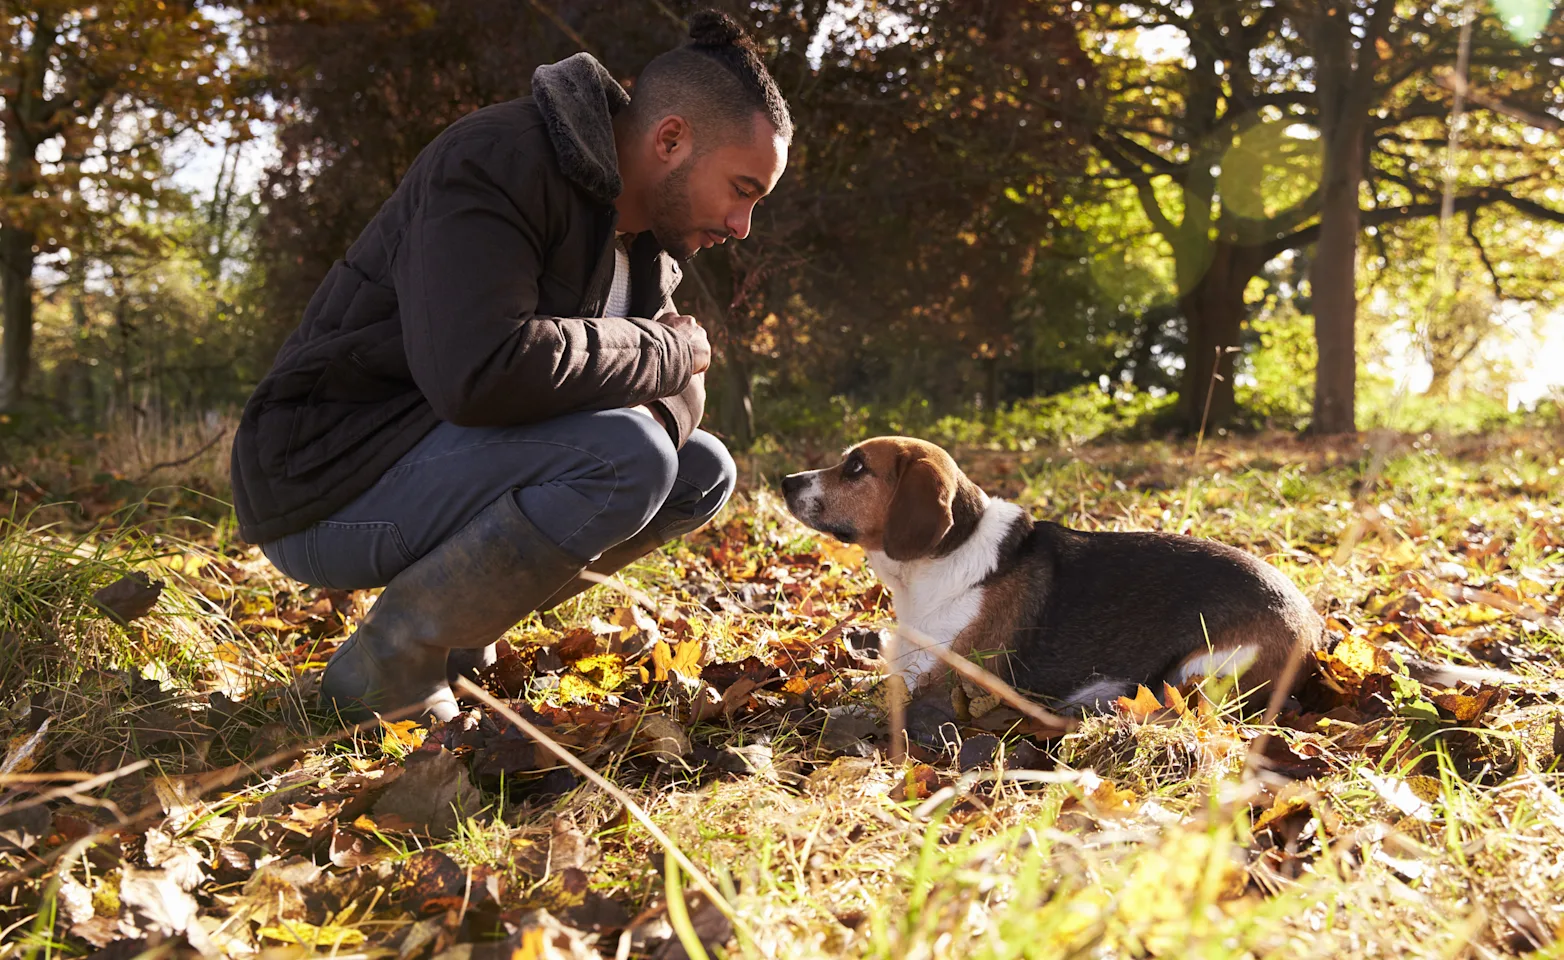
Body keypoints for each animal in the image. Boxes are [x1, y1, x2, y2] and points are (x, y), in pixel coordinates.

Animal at [778, 437, 1320, 737]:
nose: (785, 481)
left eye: (856, 467)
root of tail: (1315, 626)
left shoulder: (942, 682)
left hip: (1202, 671)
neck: (944, 557)